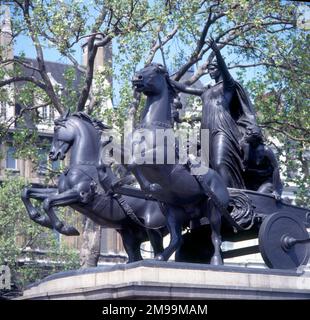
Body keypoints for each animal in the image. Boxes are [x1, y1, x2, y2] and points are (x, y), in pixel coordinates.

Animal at [21, 111, 167, 264]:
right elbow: (27, 192)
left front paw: (66, 228)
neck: (85, 165)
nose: (52, 154)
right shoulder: (60, 191)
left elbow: (47, 202)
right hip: (130, 234)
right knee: (136, 256)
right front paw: (40, 218)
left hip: (153, 227)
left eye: (56, 129)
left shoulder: (78, 195)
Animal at [108, 63, 230, 264]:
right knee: (177, 238)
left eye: (156, 70)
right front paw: (117, 183)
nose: (137, 77)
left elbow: (135, 162)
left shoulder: (160, 158)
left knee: (216, 236)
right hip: (172, 210)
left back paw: (216, 261)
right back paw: (160, 257)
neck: (153, 128)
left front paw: (150, 187)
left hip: (213, 209)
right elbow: (123, 158)